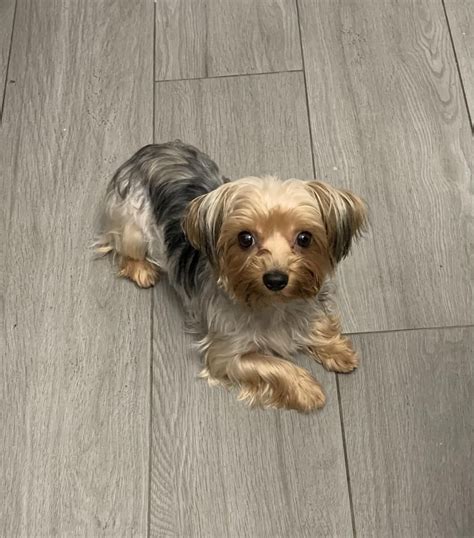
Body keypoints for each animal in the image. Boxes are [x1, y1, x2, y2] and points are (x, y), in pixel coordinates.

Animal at [96, 139, 368, 410]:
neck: (275, 305)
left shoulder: (307, 306)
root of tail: (148, 150)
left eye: (305, 238)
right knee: (123, 246)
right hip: (131, 224)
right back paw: (142, 271)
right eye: (245, 238)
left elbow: (318, 321)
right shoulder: (227, 353)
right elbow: (273, 365)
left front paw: (337, 350)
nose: (276, 280)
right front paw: (306, 388)